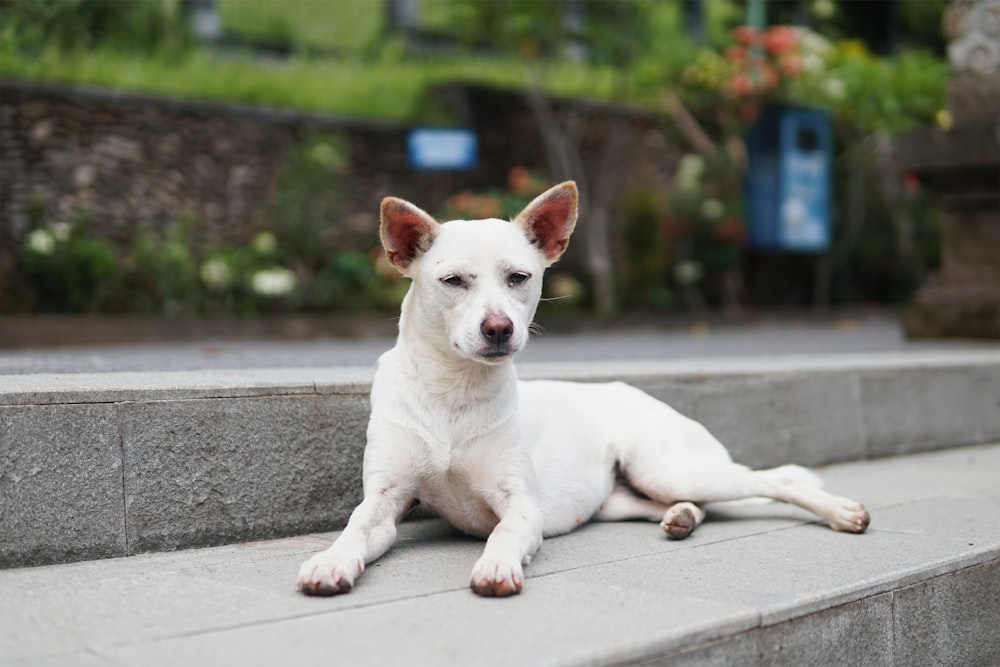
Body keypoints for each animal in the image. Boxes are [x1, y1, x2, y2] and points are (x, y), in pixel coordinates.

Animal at [296, 180, 868, 596]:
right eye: (453, 281)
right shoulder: (385, 500)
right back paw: (683, 517)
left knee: (775, 481)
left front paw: (497, 565)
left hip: (667, 467)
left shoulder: (520, 504)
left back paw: (840, 511)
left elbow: (504, 531)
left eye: (519, 277)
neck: (453, 390)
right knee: (689, 503)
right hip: (626, 495)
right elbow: (355, 528)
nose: (499, 328)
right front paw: (330, 561)